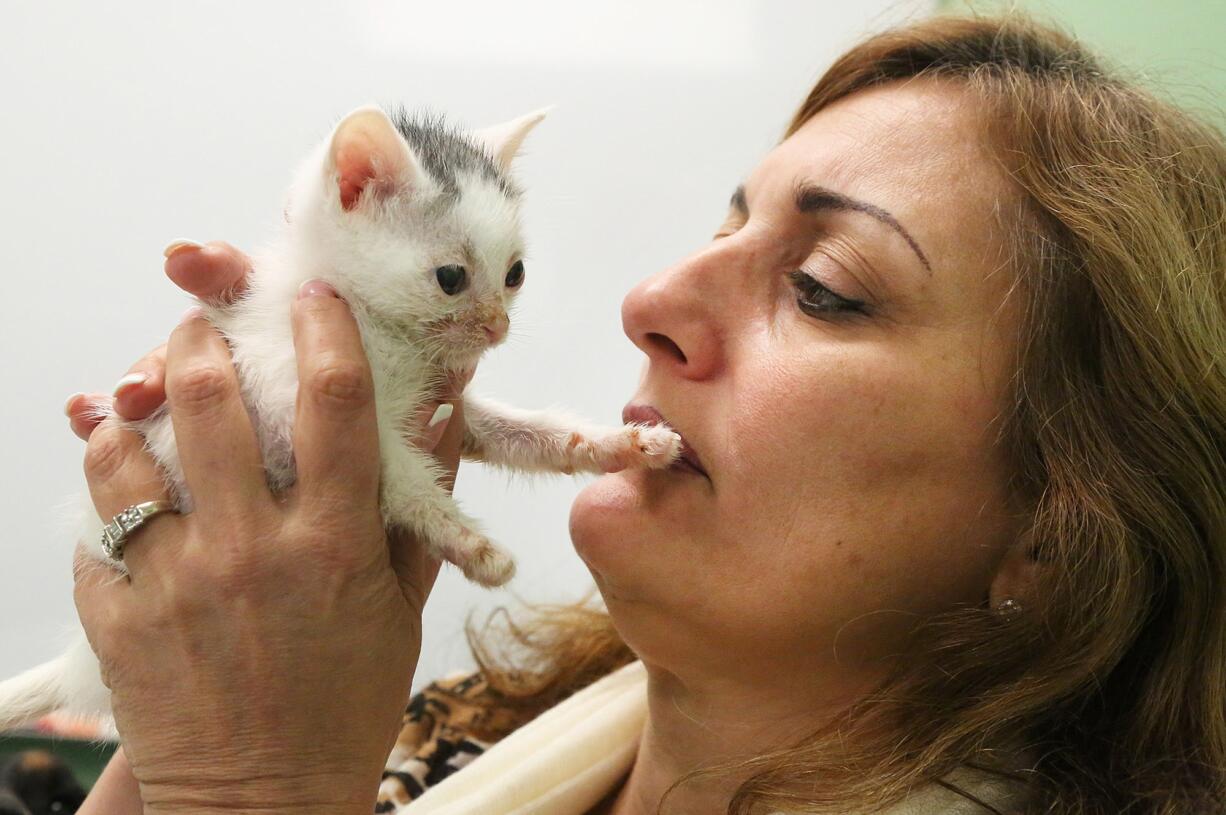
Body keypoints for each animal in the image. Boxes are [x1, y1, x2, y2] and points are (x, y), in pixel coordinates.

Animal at [0, 103, 681, 730]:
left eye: (514, 274)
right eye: (451, 277)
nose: (497, 327)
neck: (369, 318)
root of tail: (80, 665)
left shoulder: (443, 404)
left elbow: (528, 435)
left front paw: (625, 444)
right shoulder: (285, 401)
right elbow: (399, 476)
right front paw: (473, 544)